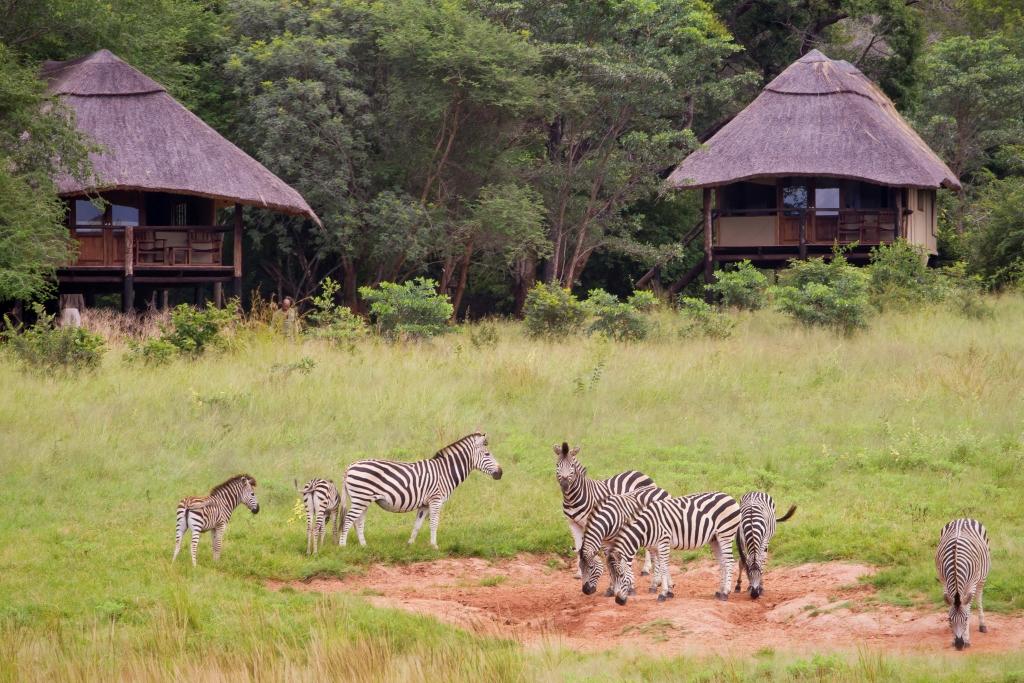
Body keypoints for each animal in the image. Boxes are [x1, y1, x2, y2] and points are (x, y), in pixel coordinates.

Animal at [339, 432, 502, 549]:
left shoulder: (424, 504)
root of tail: (350, 466)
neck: (445, 472)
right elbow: (434, 523)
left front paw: (410, 544)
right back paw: (342, 546)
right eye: (487, 454)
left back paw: (363, 545)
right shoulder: (436, 500)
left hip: (363, 499)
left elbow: (417, 525)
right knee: (348, 519)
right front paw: (434, 546)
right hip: (361, 498)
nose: (500, 473)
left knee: (358, 521)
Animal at [554, 442, 657, 579]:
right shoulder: (573, 524)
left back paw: (645, 569)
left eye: (572, 466)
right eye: (557, 465)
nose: (565, 485)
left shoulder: (590, 523)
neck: (572, 498)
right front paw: (580, 573)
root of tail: (642, 473)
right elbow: (578, 547)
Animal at [608, 492, 741, 605]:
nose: (618, 601)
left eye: (621, 575)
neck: (647, 527)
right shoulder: (656, 547)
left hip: (725, 534)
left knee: (729, 562)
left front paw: (663, 593)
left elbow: (664, 568)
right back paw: (720, 590)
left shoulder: (663, 542)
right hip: (715, 539)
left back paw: (725, 592)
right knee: (722, 563)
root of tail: (729, 497)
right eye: (612, 576)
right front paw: (669, 590)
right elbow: (664, 567)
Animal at [936, 518, 991, 650]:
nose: (959, 645)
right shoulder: (944, 582)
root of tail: (963, 519)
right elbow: (949, 603)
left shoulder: (972, 584)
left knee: (979, 597)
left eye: (965, 619)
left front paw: (966, 638)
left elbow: (968, 608)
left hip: (982, 577)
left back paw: (982, 625)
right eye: (949, 619)